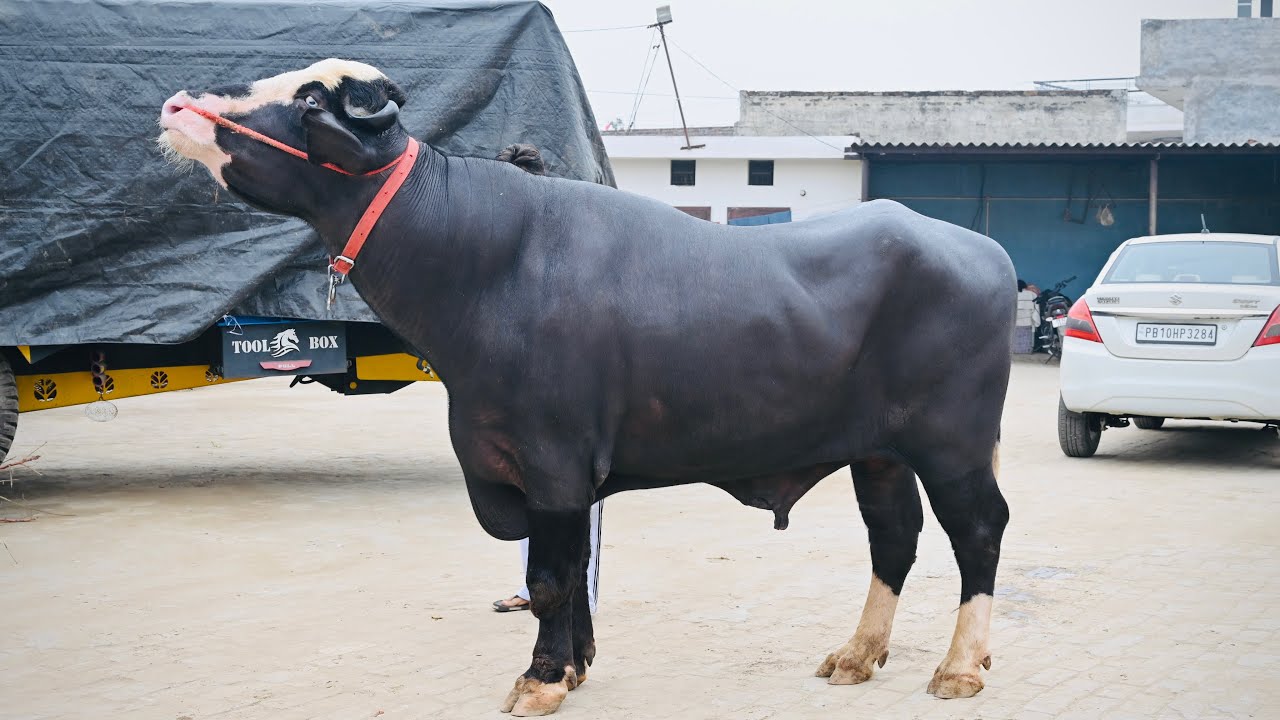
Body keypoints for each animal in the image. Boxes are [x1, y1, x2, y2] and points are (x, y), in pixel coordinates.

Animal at [158, 59, 1015, 716]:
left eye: (309, 100)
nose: (176, 105)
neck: (476, 259)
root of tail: (979, 247)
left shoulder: (554, 461)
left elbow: (547, 579)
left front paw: (539, 680)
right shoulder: (539, 470)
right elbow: (570, 580)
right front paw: (571, 667)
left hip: (953, 443)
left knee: (977, 530)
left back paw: (960, 666)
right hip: (880, 451)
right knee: (893, 536)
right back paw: (858, 653)